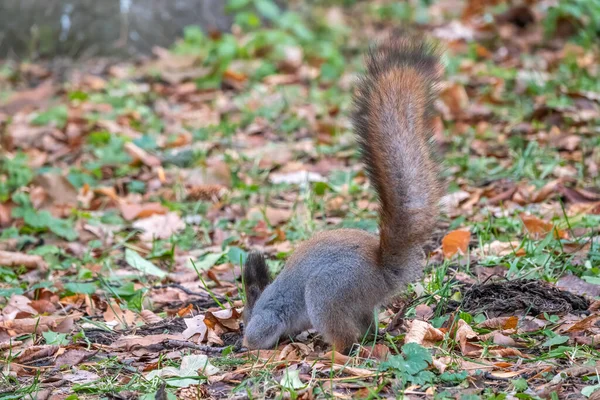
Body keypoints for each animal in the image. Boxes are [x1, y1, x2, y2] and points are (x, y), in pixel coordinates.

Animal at [241, 36, 442, 352]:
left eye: (244, 319)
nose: (241, 330)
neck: (264, 298)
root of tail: (381, 272)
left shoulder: (269, 315)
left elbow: (261, 332)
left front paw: (247, 344)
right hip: (357, 303)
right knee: (367, 328)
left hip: (328, 292)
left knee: (346, 339)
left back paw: (333, 352)